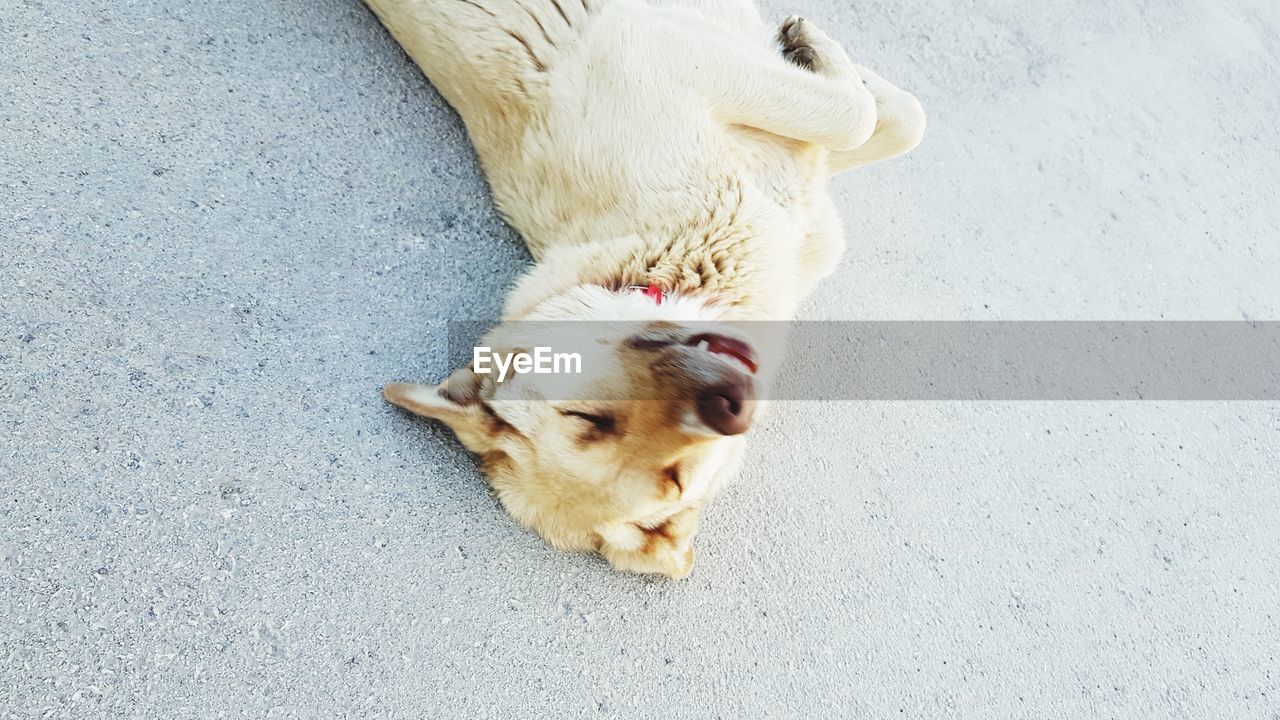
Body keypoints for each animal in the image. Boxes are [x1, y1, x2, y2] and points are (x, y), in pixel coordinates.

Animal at [366, 0, 926, 573]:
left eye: (675, 479)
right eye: (591, 417)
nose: (730, 406)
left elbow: (888, 122)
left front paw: (825, 58)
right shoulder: (650, 47)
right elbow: (858, 118)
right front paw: (829, 61)